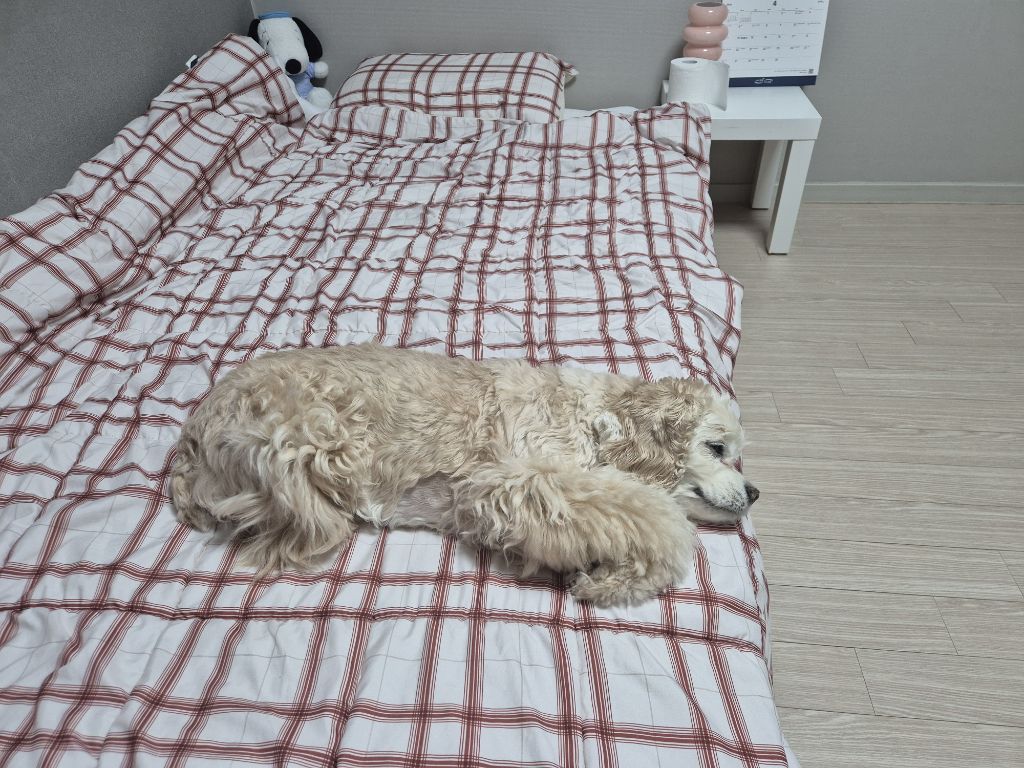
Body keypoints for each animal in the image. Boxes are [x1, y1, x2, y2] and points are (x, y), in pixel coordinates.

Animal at [170, 344, 757, 606]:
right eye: (717, 447)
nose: (754, 491)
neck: (597, 420)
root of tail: (193, 433)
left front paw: (612, 576)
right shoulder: (520, 480)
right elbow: (657, 518)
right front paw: (625, 575)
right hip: (308, 439)